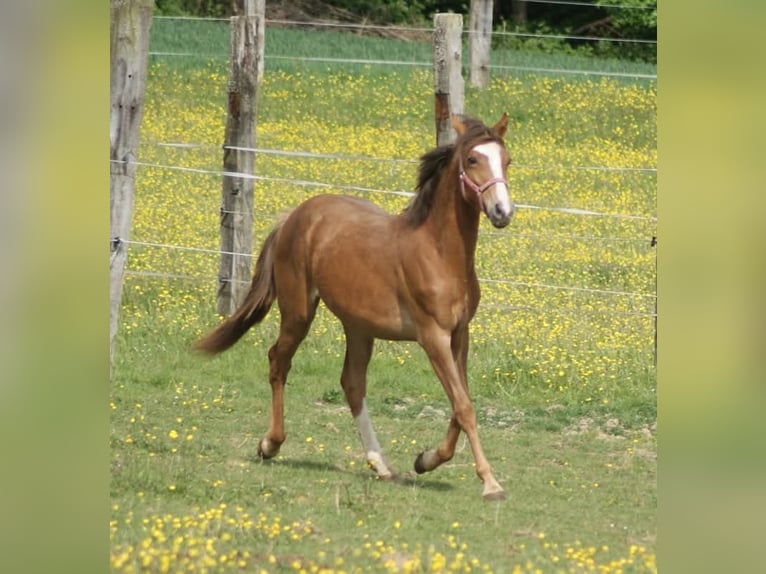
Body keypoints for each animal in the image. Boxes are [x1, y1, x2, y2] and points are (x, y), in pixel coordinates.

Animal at [195, 113, 514, 500]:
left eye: (507, 160)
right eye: (472, 160)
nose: (502, 212)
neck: (439, 253)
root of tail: (295, 214)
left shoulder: (459, 335)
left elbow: (459, 403)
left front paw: (425, 460)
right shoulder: (432, 336)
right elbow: (463, 407)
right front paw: (491, 483)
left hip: (359, 327)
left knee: (352, 383)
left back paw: (381, 464)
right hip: (299, 312)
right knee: (278, 361)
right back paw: (270, 444)